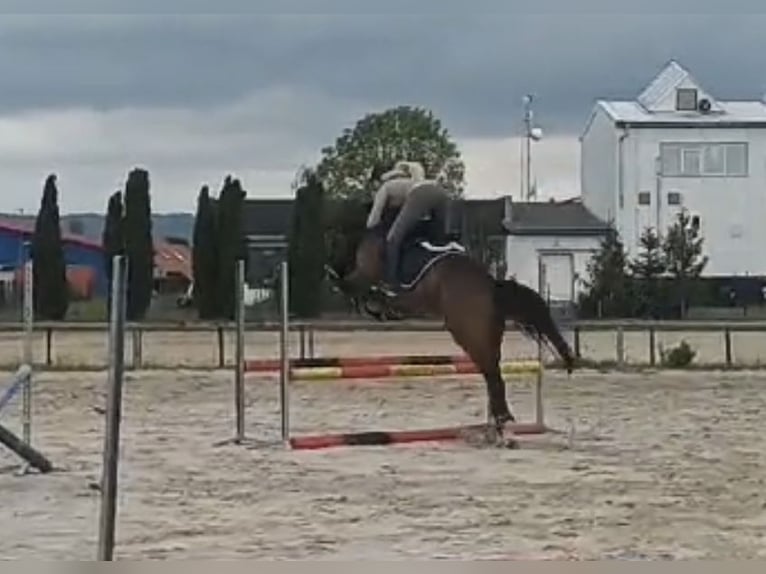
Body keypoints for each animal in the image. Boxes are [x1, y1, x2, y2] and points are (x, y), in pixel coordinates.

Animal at [328, 202, 580, 450]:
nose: (330, 267)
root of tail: (491, 286)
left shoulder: (364, 275)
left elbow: (354, 287)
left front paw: (366, 300)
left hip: (469, 335)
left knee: (493, 376)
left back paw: (503, 429)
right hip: (487, 337)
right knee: (493, 375)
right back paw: (498, 431)